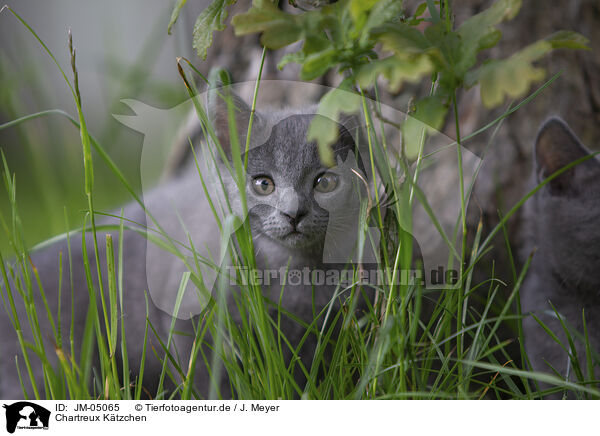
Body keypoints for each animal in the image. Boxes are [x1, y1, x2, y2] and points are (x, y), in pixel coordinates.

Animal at [0, 88, 372, 398]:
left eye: (325, 182)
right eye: (263, 184)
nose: (293, 213)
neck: (291, 271)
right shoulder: (190, 319)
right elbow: (209, 381)